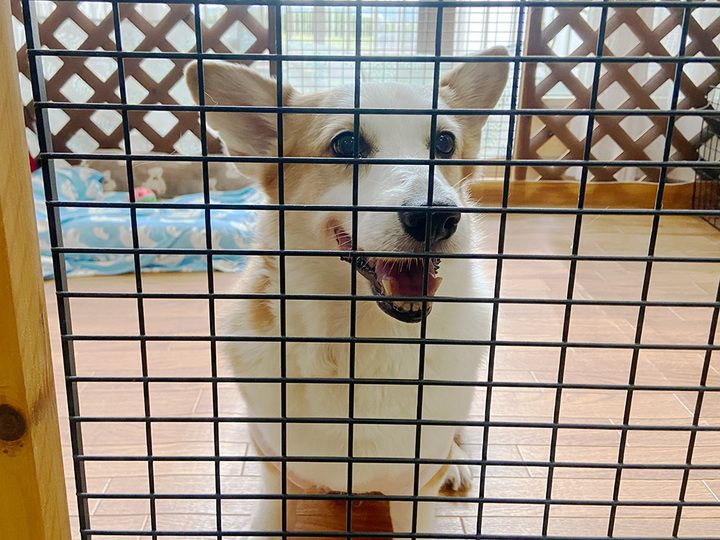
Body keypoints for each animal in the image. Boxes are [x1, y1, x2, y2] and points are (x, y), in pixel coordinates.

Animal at [185, 47, 508, 536]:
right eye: (345, 144)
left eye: (445, 143)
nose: (436, 217)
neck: (363, 340)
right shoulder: (276, 469)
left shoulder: (415, 482)